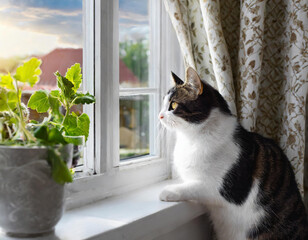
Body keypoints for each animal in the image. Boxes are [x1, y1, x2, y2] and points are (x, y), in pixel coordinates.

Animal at [159, 67, 308, 240]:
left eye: (173, 105)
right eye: (163, 104)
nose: (159, 116)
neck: (193, 137)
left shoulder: (224, 189)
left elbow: (195, 186)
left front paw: (169, 191)